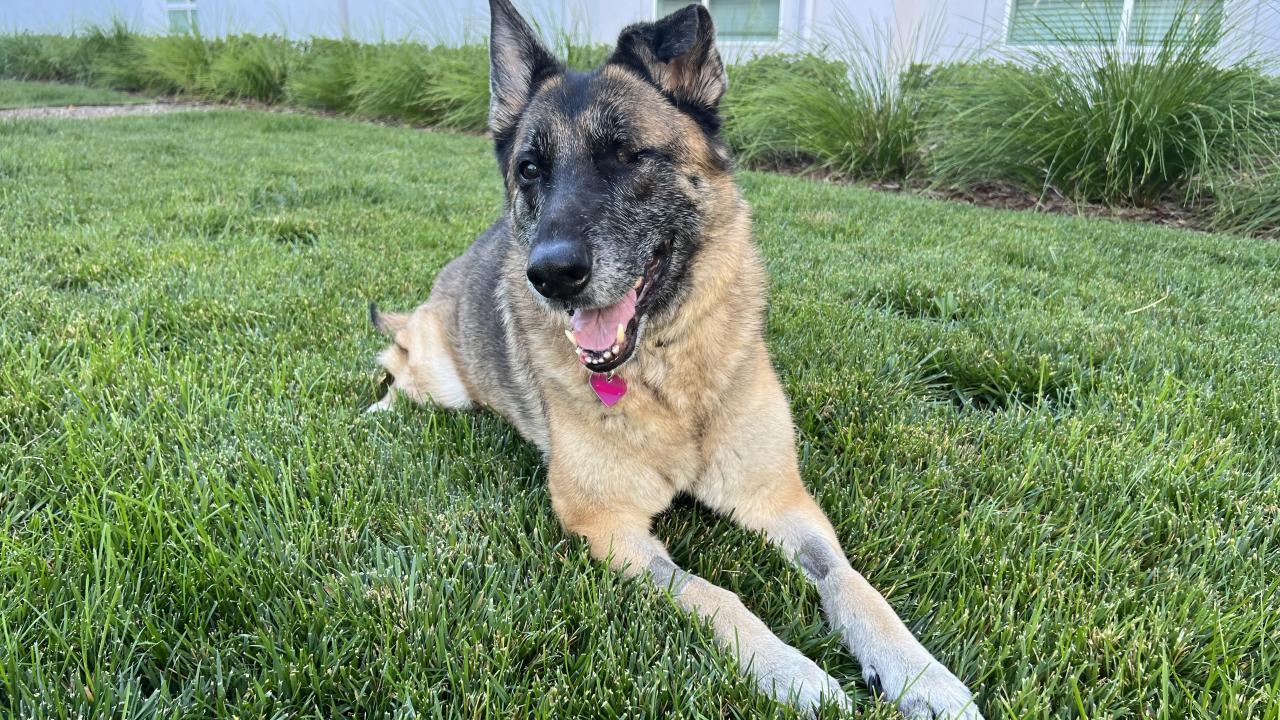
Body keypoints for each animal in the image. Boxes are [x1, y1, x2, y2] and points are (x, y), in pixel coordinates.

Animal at [368, 2, 977, 712]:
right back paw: (379, 409)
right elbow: (714, 594)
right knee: (394, 357)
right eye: (530, 170)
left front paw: (916, 671)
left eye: (627, 155)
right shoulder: (607, 525)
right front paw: (791, 670)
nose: (549, 275)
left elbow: (849, 580)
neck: (668, 374)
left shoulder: (780, 499)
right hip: (443, 379)